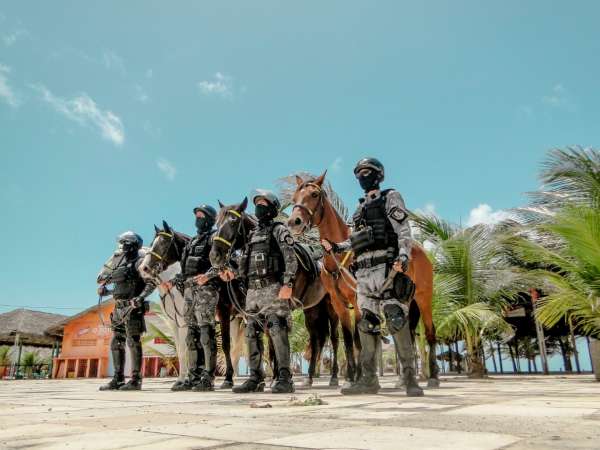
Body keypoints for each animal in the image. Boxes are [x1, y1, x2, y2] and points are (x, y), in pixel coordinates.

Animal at [139, 220, 243, 388]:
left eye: (163, 243)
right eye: (151, 243)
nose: (144, 268)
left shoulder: (191, 320)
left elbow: (191, 348)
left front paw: (189, 379)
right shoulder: (176, 323)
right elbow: (184, 350)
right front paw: (185, 379)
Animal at [210, 199, 342, 384]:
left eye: (233, 222)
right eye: (217, 223)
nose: (214, 255)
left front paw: (279, 377)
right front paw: (273, 376)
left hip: (332, 308)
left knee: (334, 338)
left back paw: (335, 376)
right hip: (312, 310)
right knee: (316, 339)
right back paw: (309, 377)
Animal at [286, 171, 440, 388]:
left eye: (314, 194)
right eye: (293, 199)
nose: (294, 222)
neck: (338, 260)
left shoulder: (357, 300)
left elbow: (359, 340)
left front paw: (361, 377)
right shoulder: (339, 305)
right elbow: (349, 340)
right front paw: (352, 376)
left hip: (424, 298)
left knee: (430, 332)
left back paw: (433, 377)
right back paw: (403, 380)